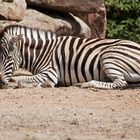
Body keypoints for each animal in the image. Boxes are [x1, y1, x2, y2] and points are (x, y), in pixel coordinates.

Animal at [0, 24, 140, 89]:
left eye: (9, 57)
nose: (0, 83)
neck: (42, 52)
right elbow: (17, 79)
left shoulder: (50, 73)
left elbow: (21, 81)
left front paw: (41, 84)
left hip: (109, 56)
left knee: (121, 83)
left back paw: (85, 84)